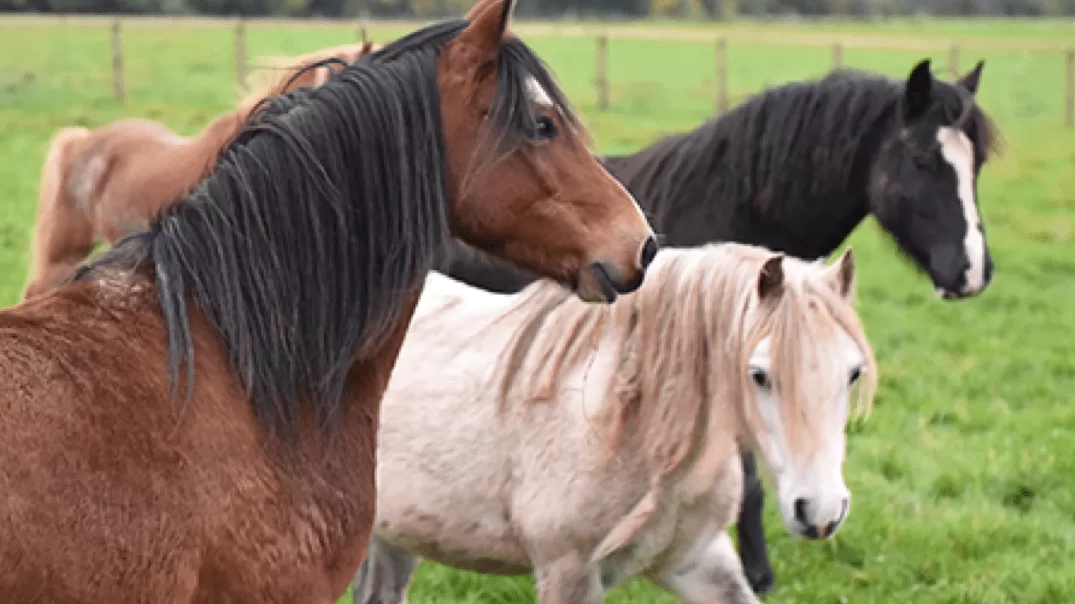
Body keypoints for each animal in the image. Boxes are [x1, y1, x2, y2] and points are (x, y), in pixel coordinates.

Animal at [432, 57, 1002, 595]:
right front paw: (757, 572)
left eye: (977, 165)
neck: (729, 212)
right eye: (922, 159)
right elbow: (747, 483)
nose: (973, 272)